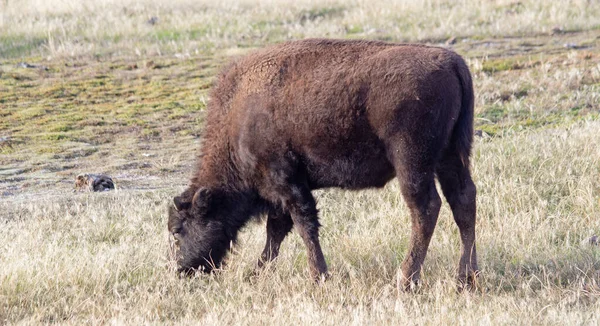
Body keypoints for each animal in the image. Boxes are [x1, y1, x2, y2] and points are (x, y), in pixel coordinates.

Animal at [168, 38, 478, 288]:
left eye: (177, 231)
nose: (181, 270)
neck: (237, 120)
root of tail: (452, 62)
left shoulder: (286, 182)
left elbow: (304, 226)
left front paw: (318, 277)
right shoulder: (283, 191)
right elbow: (276, 232)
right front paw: (256, 274)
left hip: (412, 162)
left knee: (426, 209)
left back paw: (406, 280)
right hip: (451, 156)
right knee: (464, 202)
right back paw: (466, 279)